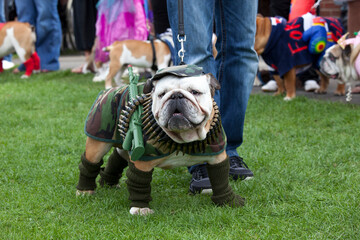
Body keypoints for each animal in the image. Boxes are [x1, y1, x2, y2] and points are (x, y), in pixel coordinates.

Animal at [76, 65, 245, 216]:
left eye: (195, 92)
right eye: (162, 94)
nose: (176, 95)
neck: (183, 137)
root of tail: (107, 91)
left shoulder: (218, 157)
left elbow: (221, 180)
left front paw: (228, 201)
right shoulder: (142, 162)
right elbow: (139, 183)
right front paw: (139, 209)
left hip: (125, 144)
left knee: (117, 156)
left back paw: (108, 183)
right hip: (98, 145)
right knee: (89, 164)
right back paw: (84, 190)